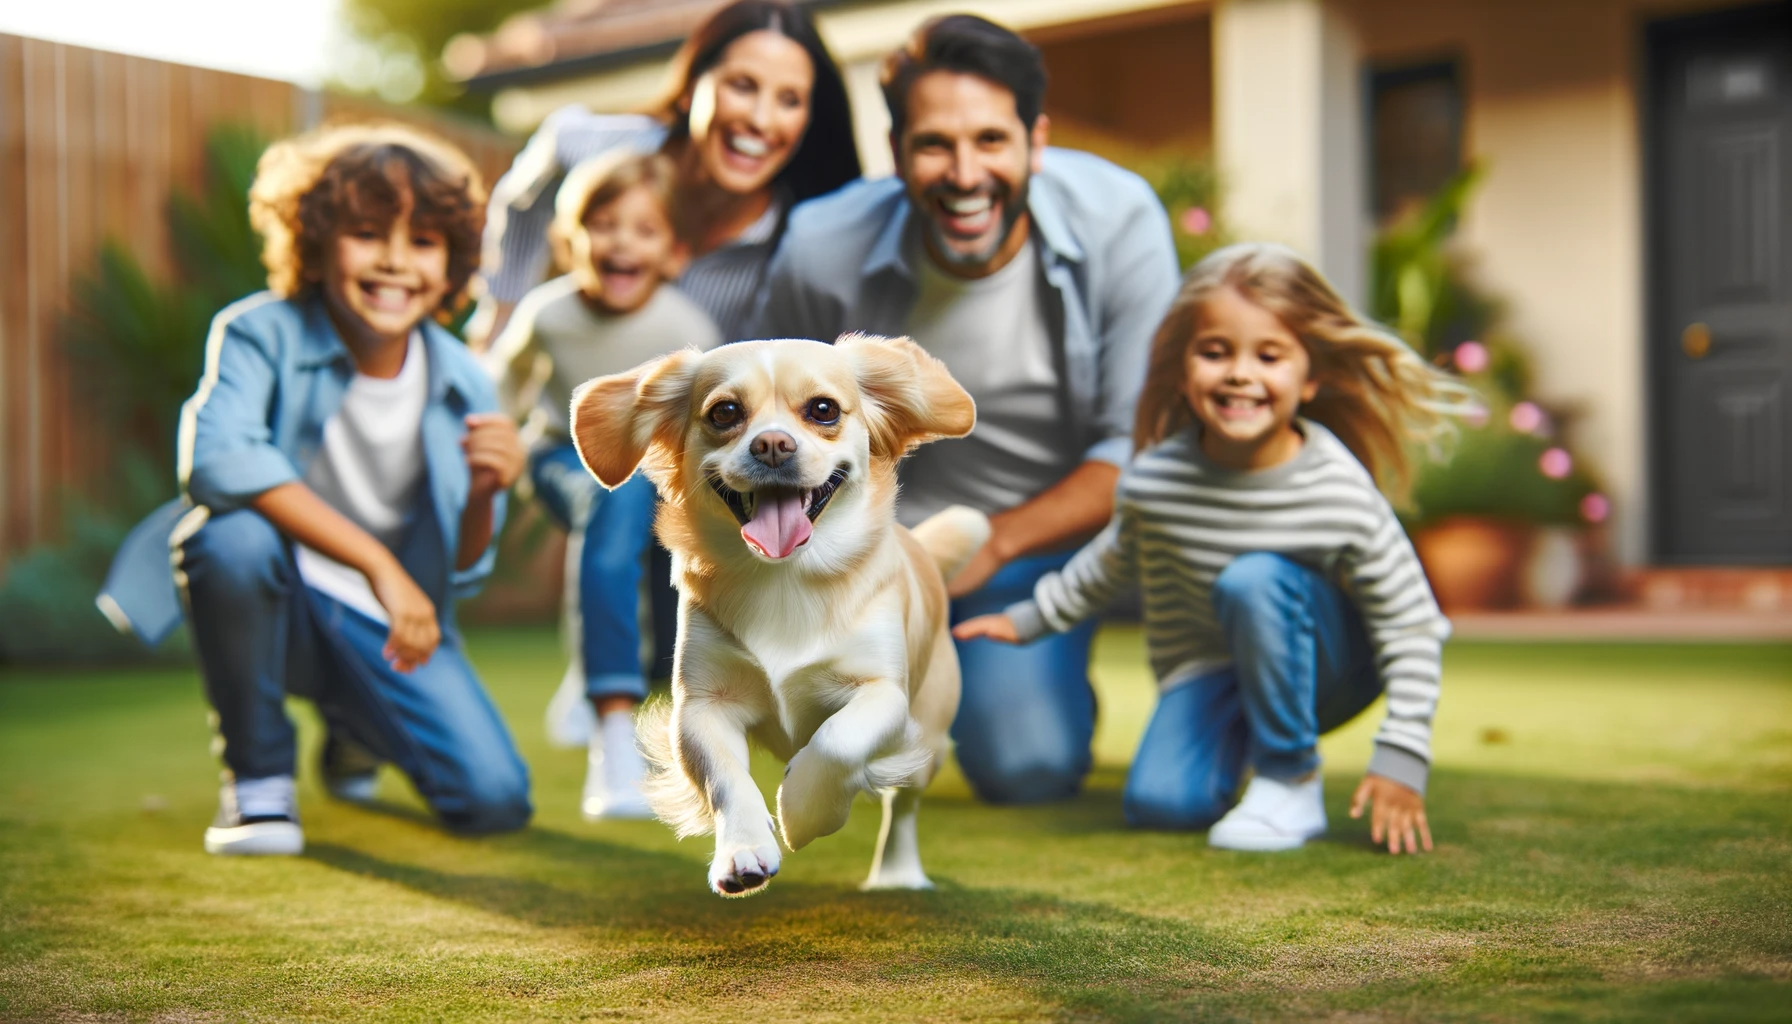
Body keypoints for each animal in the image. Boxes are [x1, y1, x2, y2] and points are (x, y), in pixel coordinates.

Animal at [569, 335, 989, 896]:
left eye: (823, 409)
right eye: (725, 412)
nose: (771, 444)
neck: (785, 575)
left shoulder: (883, 693)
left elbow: (837, 742)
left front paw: (804, 812)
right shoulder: (702, 706)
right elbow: (727, 780)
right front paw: (743, 850)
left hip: (928, 737)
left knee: (902, 807)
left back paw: (897, 875)